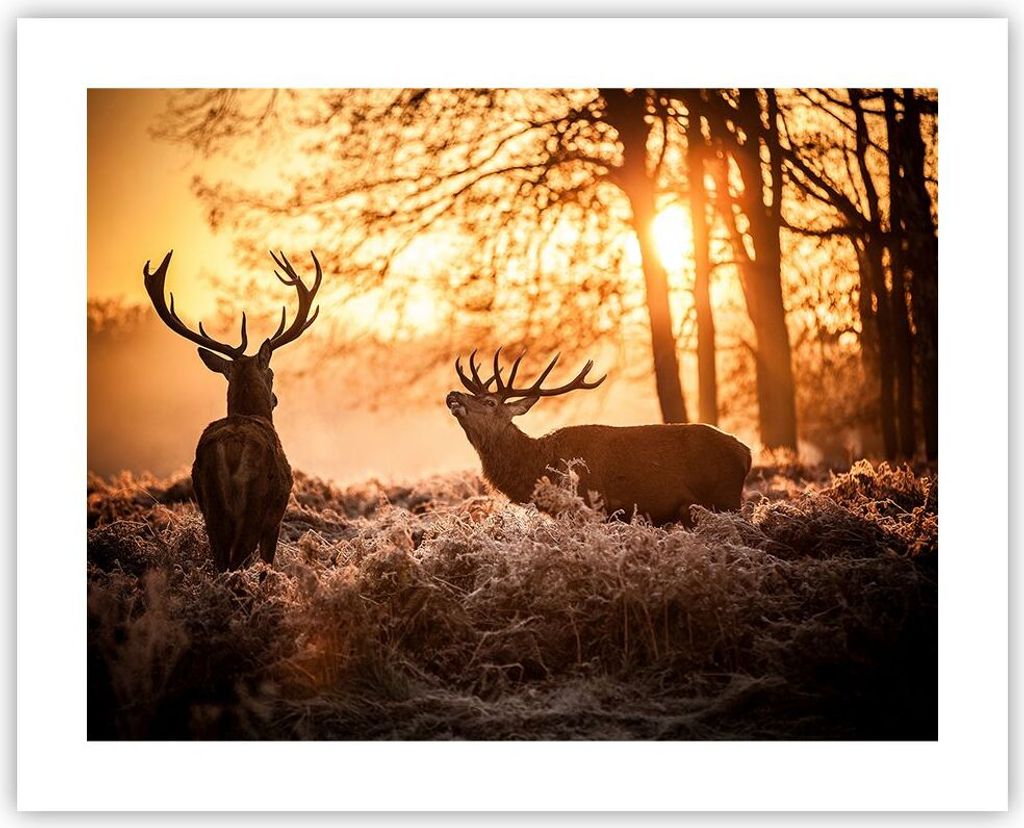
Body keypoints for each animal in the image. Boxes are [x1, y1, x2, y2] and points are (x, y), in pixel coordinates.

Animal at [142, 249, 323, 571]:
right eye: (272, 373)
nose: (275, 398)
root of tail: (231, 450)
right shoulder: (275, 520)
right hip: (254, 507)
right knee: (236, 562)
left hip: (210, 507)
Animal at [446, 349, 752, 527]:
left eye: (490, 402)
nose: (453, 395)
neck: (541, 466)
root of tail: (746, 453)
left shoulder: (590, 508)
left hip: (725, 499)